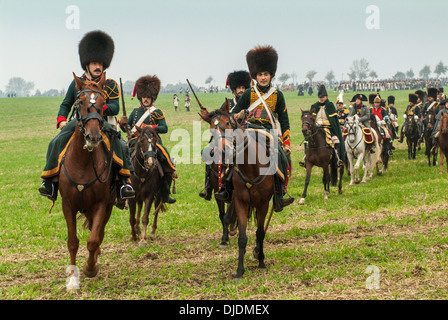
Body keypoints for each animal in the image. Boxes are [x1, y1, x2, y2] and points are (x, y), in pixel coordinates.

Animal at [57, 73, 116, 290]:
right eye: (80, 102)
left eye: (102, 102)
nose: (93, 136)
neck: (83, 162)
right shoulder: (68, 205)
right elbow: (73, 241)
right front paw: (73, 278)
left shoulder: (101, 204)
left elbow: (93, 240)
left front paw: (90, 268)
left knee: (99, 234)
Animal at [200, 100, 276, 278]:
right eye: (211, 130)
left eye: (228, 123)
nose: (224, 150)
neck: (251, 167)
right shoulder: (235, 198)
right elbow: (233, 226)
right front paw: (239, 269)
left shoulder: (263, 203)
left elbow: (260, 232)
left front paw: (260, 260)